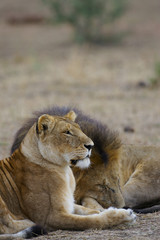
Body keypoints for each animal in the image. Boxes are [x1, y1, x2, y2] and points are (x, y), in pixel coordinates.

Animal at [0, 110, 135, 238]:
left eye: (79, 129)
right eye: (67, 132)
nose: (91, 146)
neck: (64, 169)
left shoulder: (68, 203)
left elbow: (88, 211)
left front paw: (108, 210)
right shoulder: (51, 217)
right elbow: (90, 221)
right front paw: (124, 215)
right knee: (10, 226)